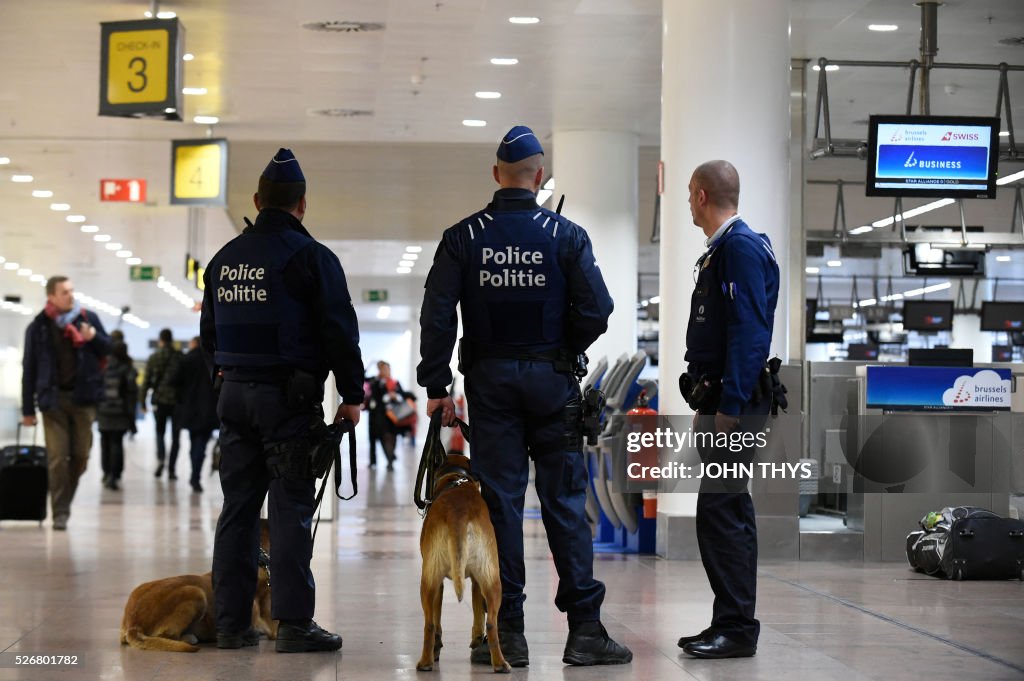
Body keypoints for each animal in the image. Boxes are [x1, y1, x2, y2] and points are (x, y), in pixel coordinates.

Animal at [417, 454, 509, 671]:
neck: (456, 480)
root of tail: (458, 514)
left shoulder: (443, 584)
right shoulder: (475, 580)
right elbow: (478, 610)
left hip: (431, 580)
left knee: (430, 624)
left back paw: (426, 661)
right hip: (491, 579)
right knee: (491, 622)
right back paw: (500, 663)